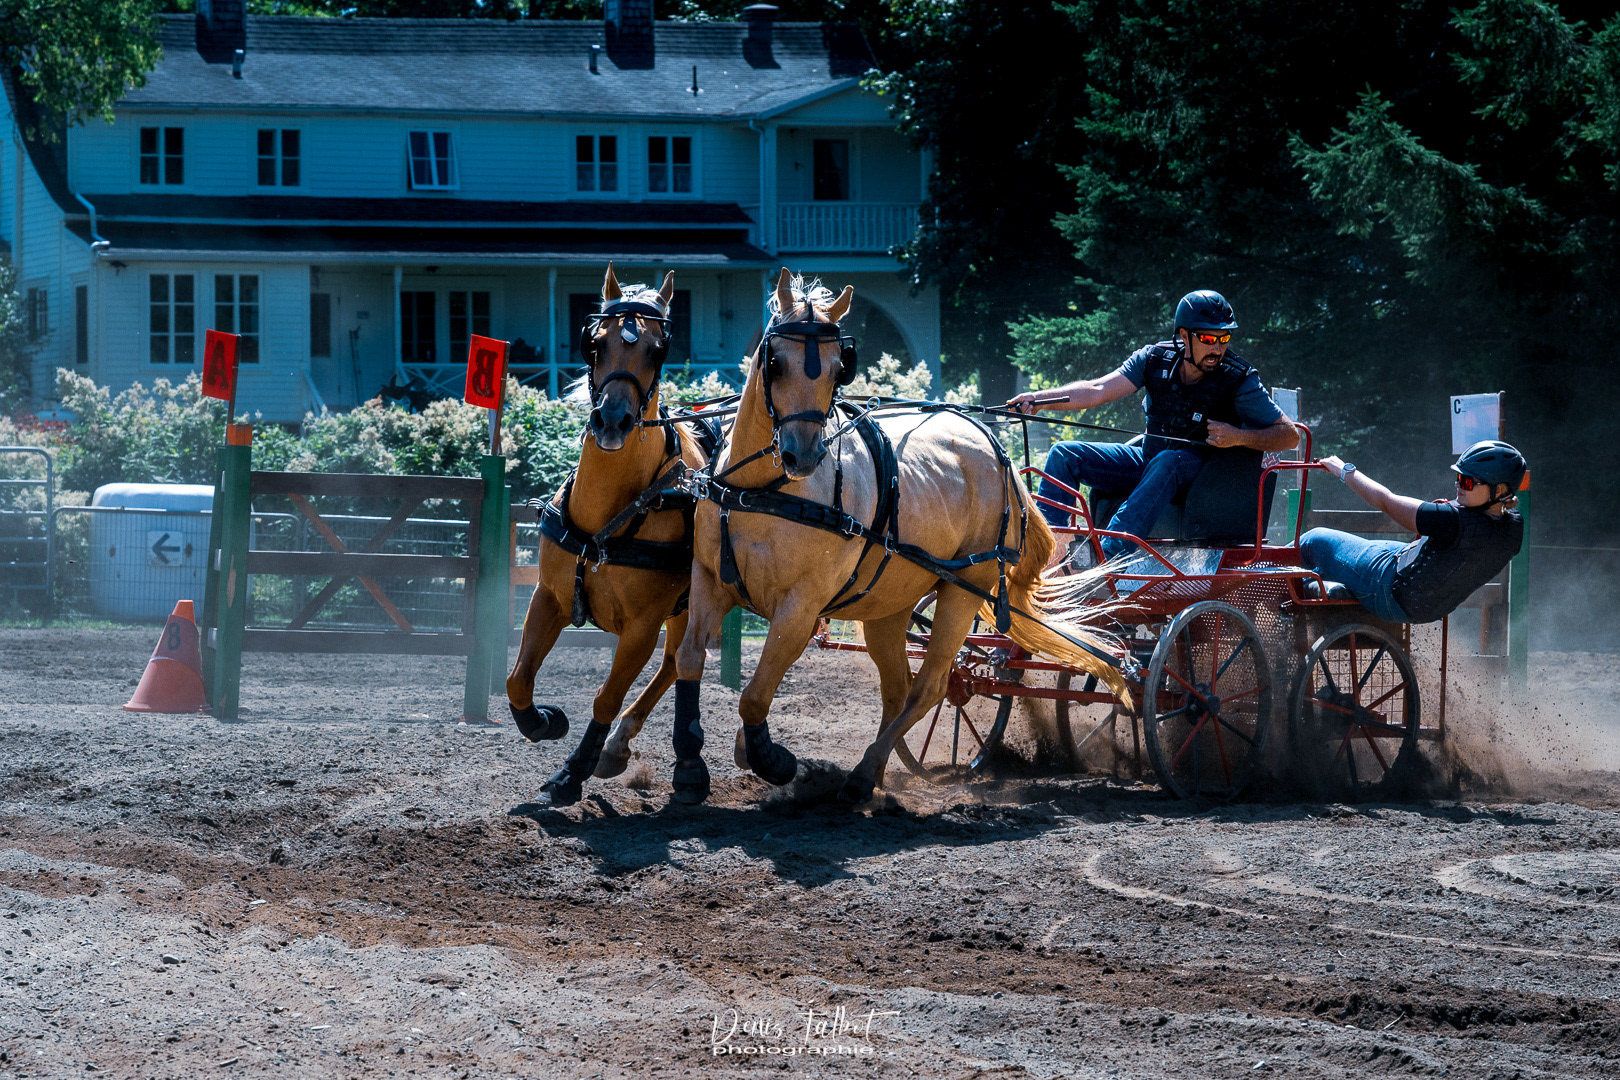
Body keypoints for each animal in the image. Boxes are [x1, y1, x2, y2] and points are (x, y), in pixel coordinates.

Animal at [505, 265, 710, 807]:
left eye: (657, 350)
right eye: (595, 344)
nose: (613, 420)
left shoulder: (641, 626)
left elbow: (606, 696)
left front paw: (572, 772)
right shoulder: (549, 596)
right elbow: (518, 680)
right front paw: (544, 722)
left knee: (681, 662)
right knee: (676, 663)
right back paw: (623, 746)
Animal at [667, 268, 1132, 805]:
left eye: (836, 368)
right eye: (776, 361)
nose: (804, 455)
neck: (764, 491)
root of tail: (998, 453)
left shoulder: (801, 607)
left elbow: (755, 693)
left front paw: (771, 759)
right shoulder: (710, 581)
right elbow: (690, 659)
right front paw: (691, 768)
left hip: (962, 589)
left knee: (930, 686)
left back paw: (863, 774)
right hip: (890, 603)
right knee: (898, 689)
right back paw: (875, 772)